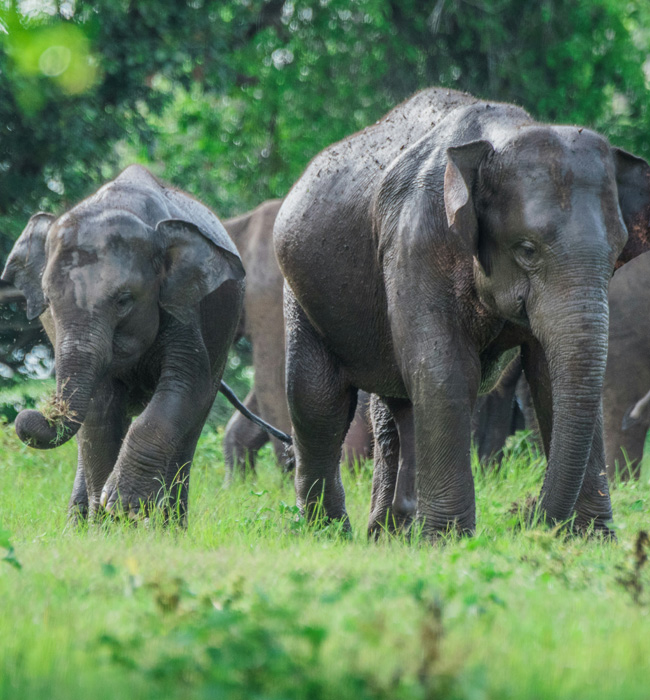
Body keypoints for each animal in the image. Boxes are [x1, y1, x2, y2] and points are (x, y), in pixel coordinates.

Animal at [1, 165, 247, 522]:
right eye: (48, 301)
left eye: (123, 300)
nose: (30, 415)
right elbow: (100, 409)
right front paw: (109, 519)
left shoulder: (184, 307)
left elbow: (186, 385)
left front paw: (124, 506)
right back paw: (82, 523)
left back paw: (167, 524)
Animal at [274, 87, 650, 539]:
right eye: (527, 249)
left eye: (616, 253)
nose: (526, 520)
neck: (501, 135)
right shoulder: (416, 240)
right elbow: (444, 368)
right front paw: (448, 540)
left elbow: (547, 376)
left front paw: (593, 540)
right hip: (300, 292)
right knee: (317, 399)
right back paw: (328, 533)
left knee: (393, 404)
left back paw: (390, 534)